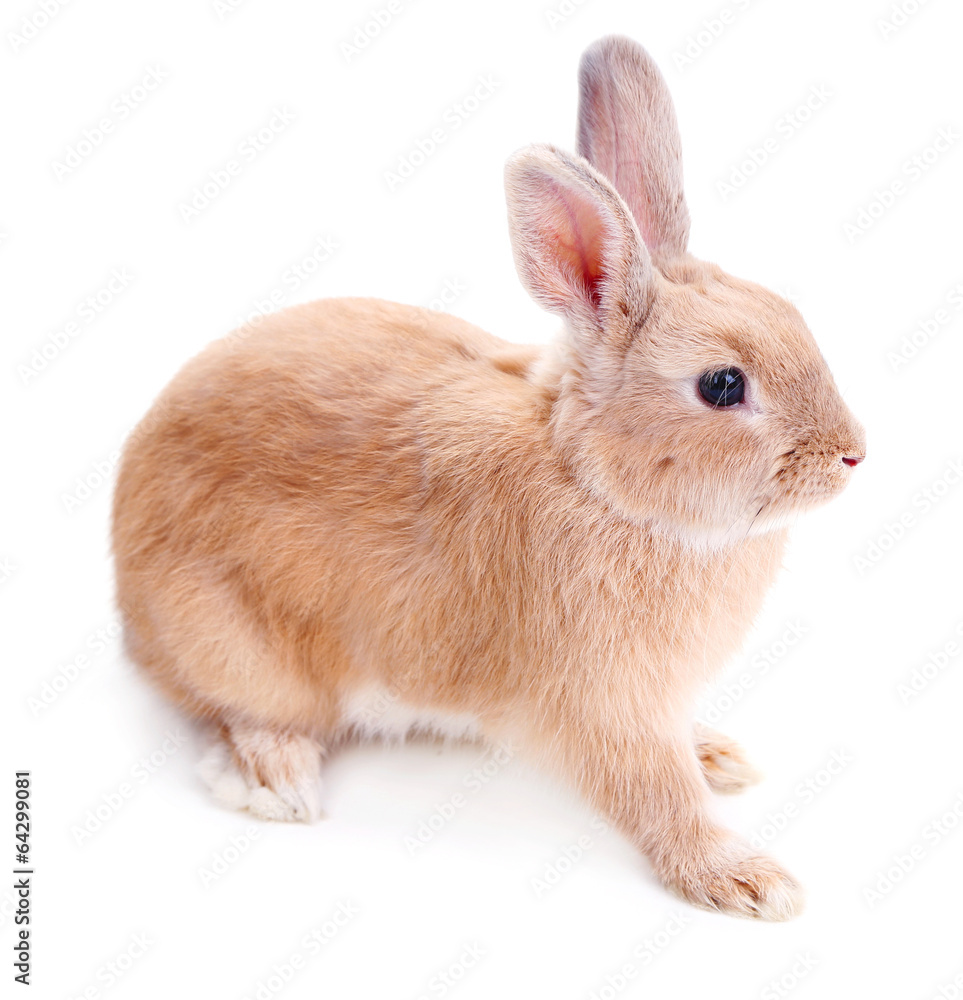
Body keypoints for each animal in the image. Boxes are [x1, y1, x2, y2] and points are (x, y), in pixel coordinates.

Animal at [111, 35, 864, 920]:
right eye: (721, 385)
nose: (852, 453)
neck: (597, 483)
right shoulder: (602, 705)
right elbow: (658, 795)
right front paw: (745, 879)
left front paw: (715, 757)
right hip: (243, 648)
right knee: (236, 713)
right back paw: (280, 779)